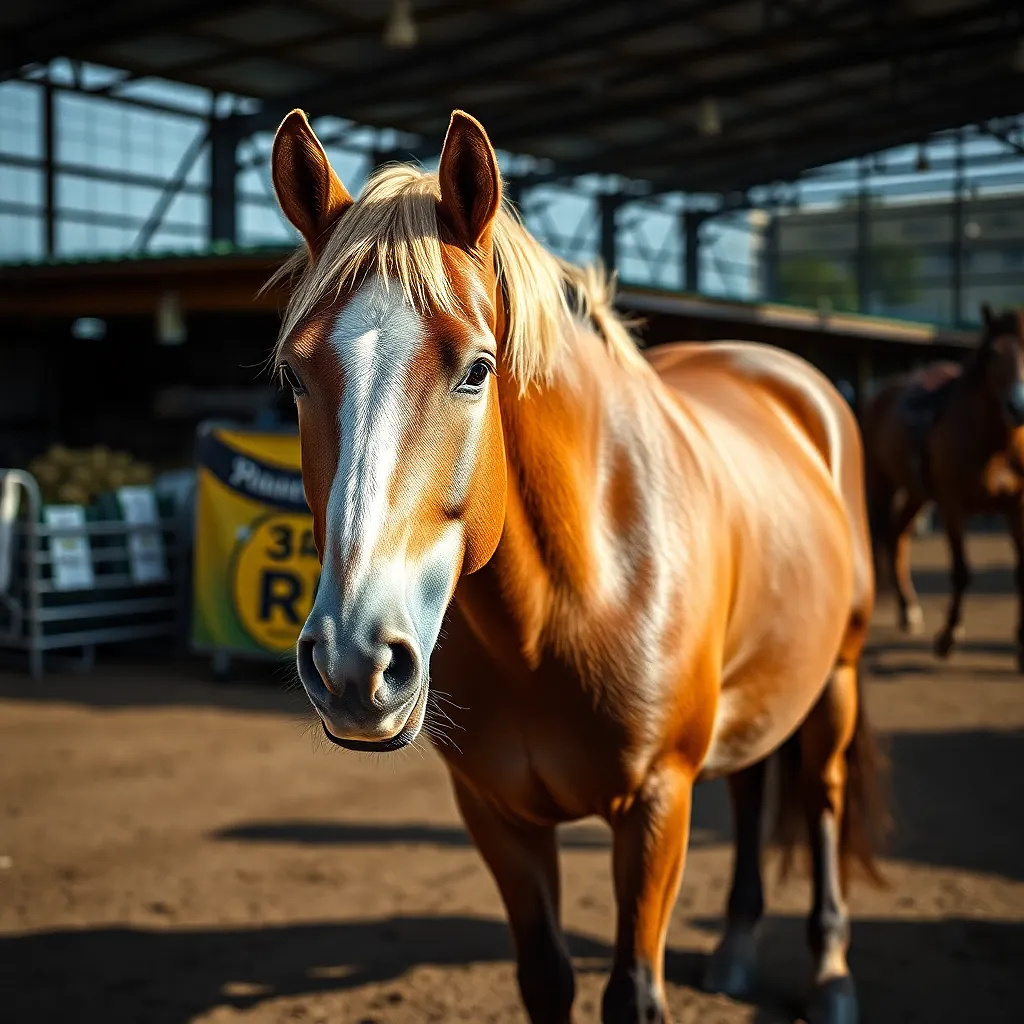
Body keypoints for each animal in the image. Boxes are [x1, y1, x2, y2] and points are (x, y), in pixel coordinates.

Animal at [267, 108, 886, 1024]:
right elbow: (546, 980)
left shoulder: (657, 807)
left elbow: (632, 993)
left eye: (476, 370)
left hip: (836, 679)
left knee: (821, 796)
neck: (566, 602)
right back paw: (736, 951)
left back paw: (834, 974)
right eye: (297, 374)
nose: (354, 664)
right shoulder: (500, 817)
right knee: (750, 787)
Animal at [862, 307, 1024, 666]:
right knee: (881, 535)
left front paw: (1022, 641)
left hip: (916, 493)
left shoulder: (1016, 507)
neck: (993, 445)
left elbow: (1021, 569)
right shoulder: (952, 506)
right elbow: (961, 571)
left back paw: (908, 610)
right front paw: (948, 637)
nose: (1018, 406)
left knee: (897, 537)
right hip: (882, 483)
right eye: (994, 353)